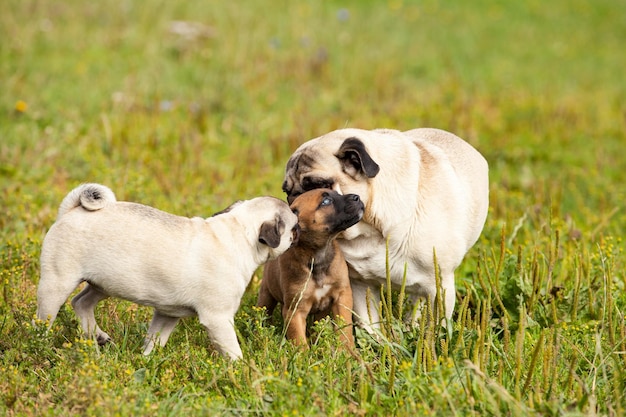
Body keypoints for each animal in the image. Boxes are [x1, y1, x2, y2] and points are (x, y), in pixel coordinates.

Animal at [37, 184, 300, 360]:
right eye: (293, 227)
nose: (300, 227)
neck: (240, 233)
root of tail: (71, 211)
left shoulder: (166, 314)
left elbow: (155, 340)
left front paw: (147, 361)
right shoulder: (218, 319)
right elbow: (232, 351)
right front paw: (242, 369)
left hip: (104, 283)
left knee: (81, 302)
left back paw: (97, 335)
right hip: (57, 283)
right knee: (45, 318)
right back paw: (39, 342)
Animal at [258, 187, 364, 346]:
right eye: (326, 201)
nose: (357, 197)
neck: (318, 256)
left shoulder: (342, 296)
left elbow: (344, 330)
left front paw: (347, 350)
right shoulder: (294, 311)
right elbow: (299, 341)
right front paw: (302, 353)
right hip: (266, 295)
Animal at [280, 127, 490, 328]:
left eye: (318, 186)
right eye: (287, 191)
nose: (295, 198)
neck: (371, 229)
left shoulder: (440, 287)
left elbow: (436, 328)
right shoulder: (360, 284)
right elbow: (369, 326)